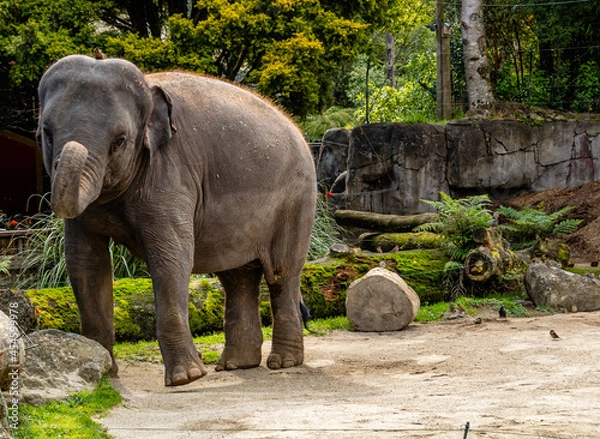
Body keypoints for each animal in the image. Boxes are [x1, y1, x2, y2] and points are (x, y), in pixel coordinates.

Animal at [36, 54, 318, 384]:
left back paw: (283, 363)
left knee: (281, 274)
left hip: (298, 200)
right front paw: (104, 374)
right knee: (238, 277)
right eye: (47, 133)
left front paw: (187, 378)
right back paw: (236, 365)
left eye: (120, 140)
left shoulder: (169, 172)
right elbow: (85, 262)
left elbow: (171, 258)